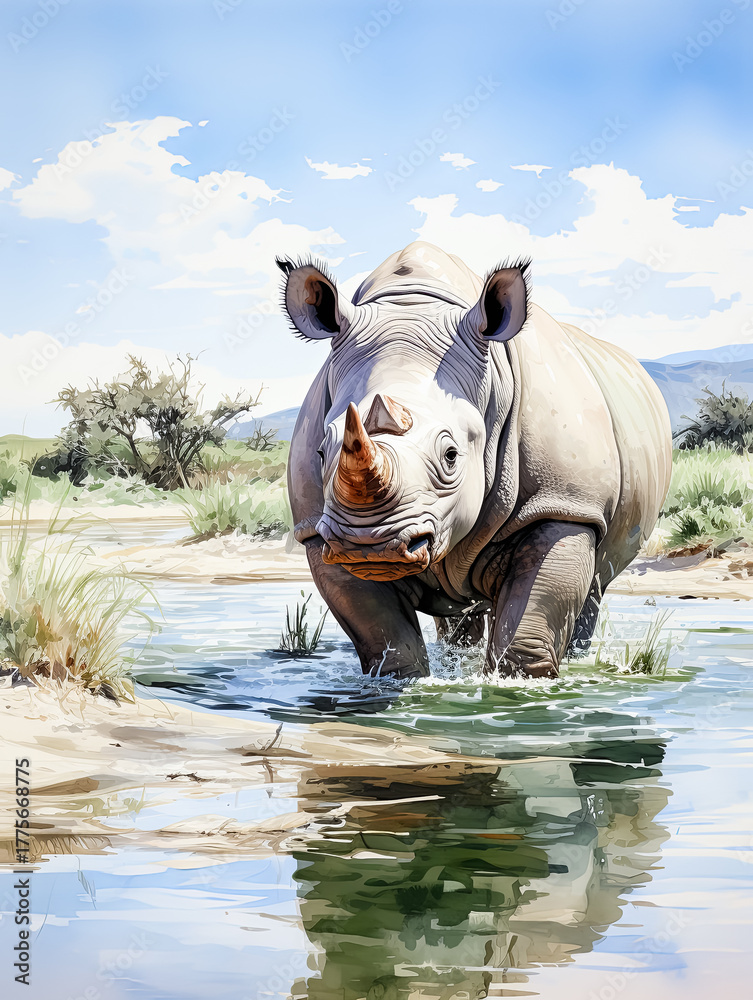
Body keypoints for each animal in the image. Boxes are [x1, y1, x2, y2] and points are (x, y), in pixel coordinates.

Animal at [281, 242, 671, 679]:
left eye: (451, 456)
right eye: (321, 453)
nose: (369, 545)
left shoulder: (564, 504)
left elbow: (529, 626)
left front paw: (518, 684)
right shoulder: (316, 528)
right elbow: (384, 638)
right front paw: (399, 683)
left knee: (596, 584)